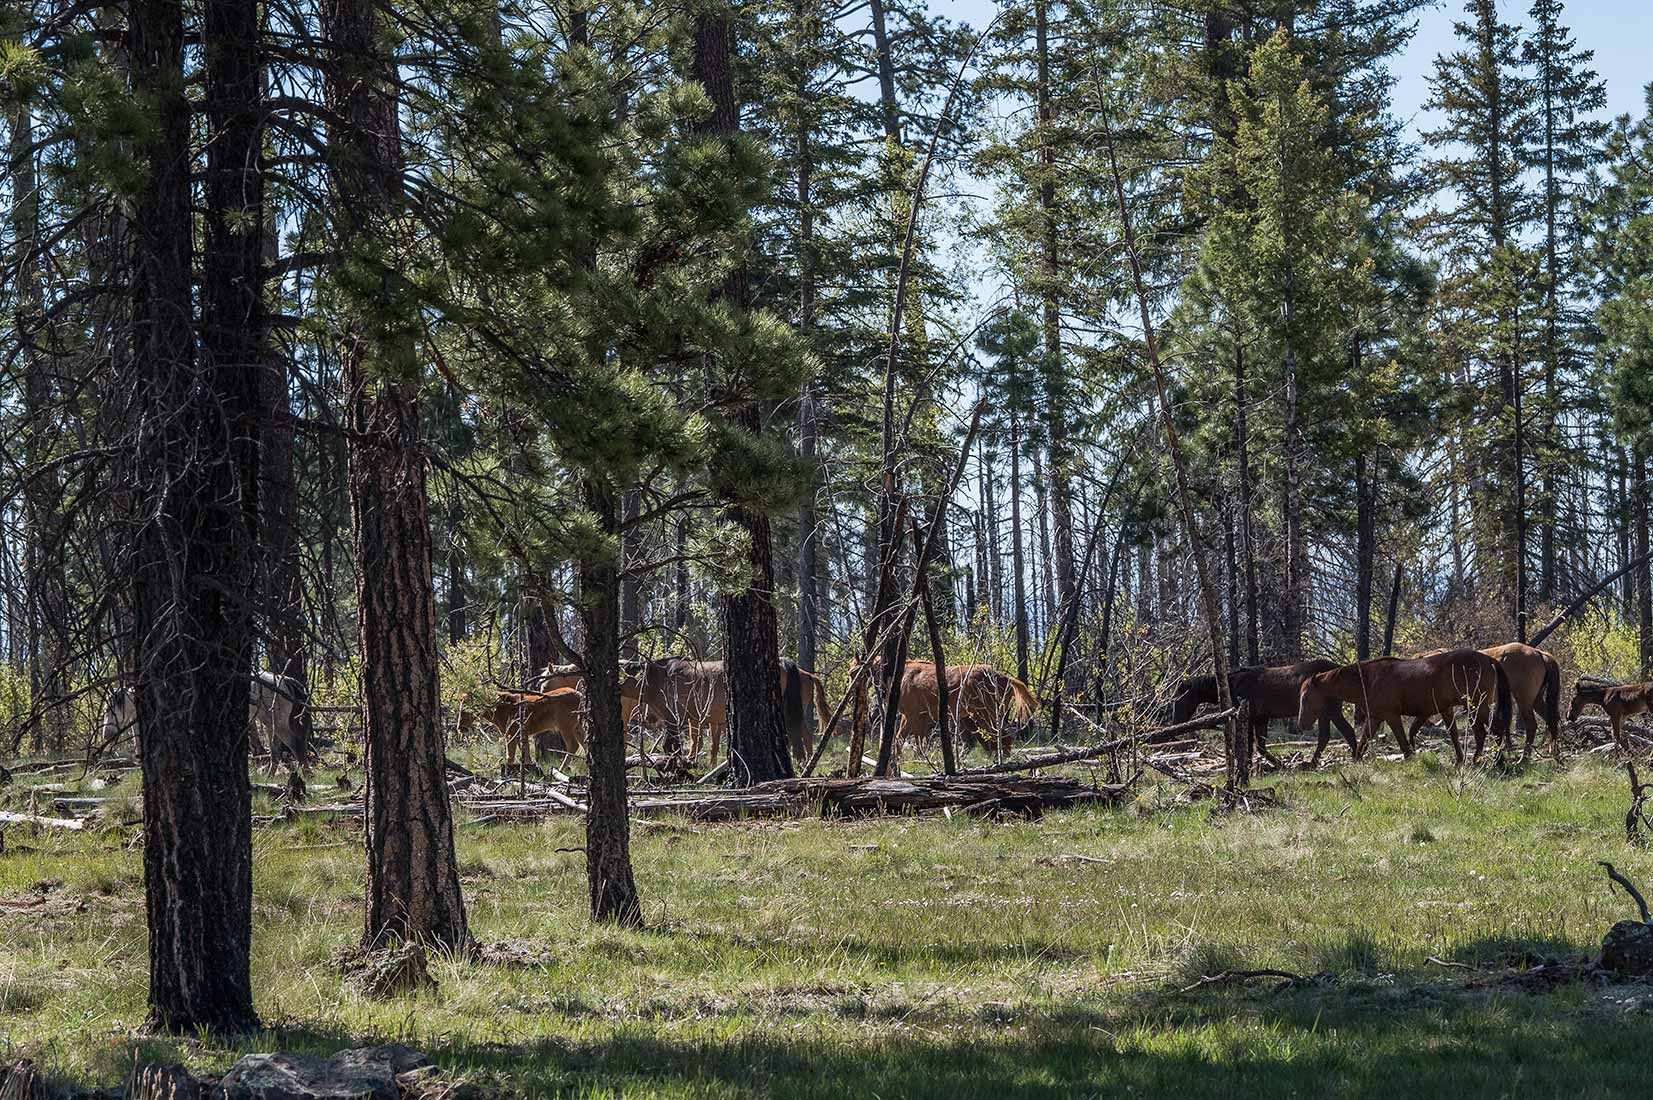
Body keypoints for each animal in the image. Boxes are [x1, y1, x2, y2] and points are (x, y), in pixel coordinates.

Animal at [101, 670, 308, 768]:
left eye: (110, 711)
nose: (106, 735)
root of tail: (283, 680)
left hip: (276, 722)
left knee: (293, 744)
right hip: (270, 722)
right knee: (276, 750)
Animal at [1169, 660, 1360, 768]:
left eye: (1180, 699)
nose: (1175, 723)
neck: (1232, 686)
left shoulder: (1249, 718)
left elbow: (1249, 747)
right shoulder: (1260, 719)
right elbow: (1259, 747)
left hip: (1330, 711)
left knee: (1344, 733)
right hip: (1324, 713)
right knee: (1329, 736)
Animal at [1298, 649, 1512, 766]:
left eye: (1305, 698)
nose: (1301, 724)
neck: (1367, 679)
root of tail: (1488, 659)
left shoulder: (1391, 716)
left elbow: (1402, 741)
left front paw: (1411, 758)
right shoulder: (1376, 718)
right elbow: (1363, 741)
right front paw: (1356, 761)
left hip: (1478, 706)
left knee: (1497, 728)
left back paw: (1498, 761)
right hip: (1473, 708)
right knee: (1481, 733)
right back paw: (1475, 760)